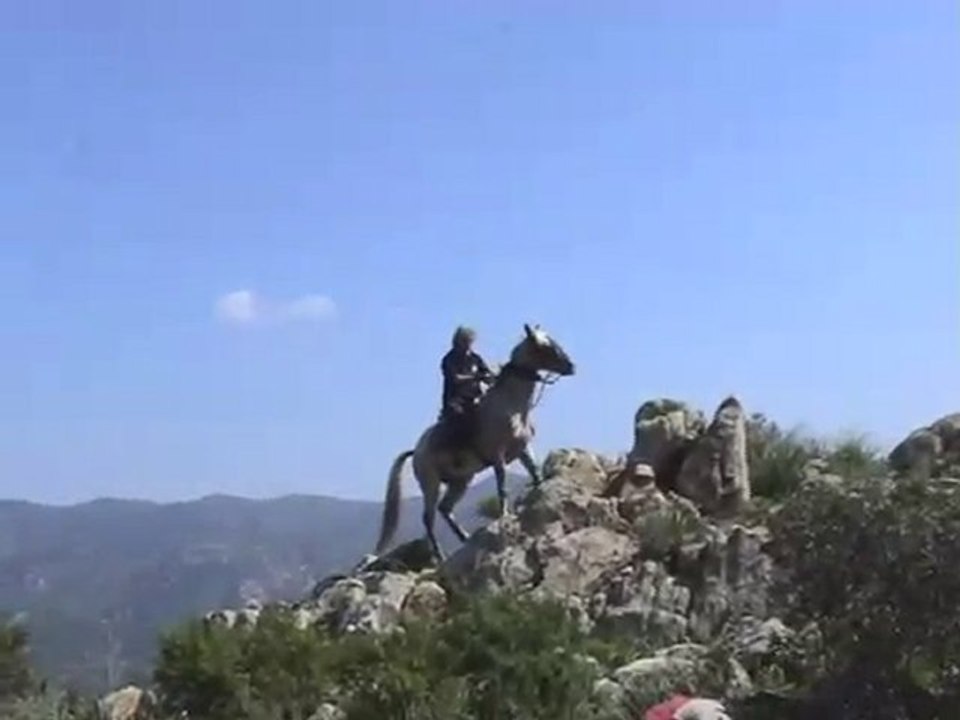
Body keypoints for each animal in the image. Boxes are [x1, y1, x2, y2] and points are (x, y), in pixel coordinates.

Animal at [375, 324, 576, 561]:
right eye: (542, 346)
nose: (571, 366)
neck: (511, 405)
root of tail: (416, 450)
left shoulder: (523, 449)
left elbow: (535, 473)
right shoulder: (498, 455)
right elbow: (502, 488)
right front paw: (504, 517)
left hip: (460, 480)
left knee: (445, 508)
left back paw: (465, 537)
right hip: (430, 483)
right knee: (428, 519)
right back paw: (440, 555)